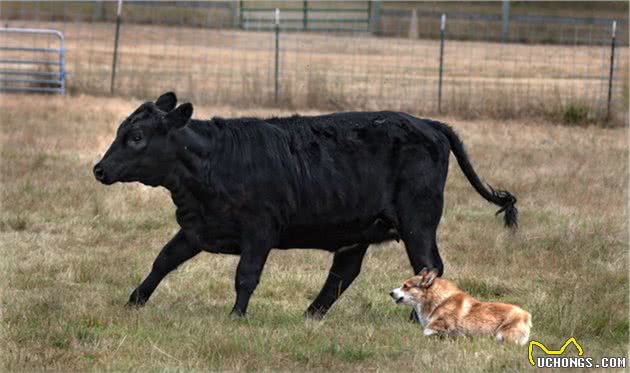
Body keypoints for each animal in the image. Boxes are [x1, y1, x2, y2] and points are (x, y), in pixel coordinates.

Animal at [390, 268, 532, 342]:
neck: (439, 301)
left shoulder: (437, 326)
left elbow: (425, 332)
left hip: (502, 335)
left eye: (405, 286)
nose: (390, 293)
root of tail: (527, 316)